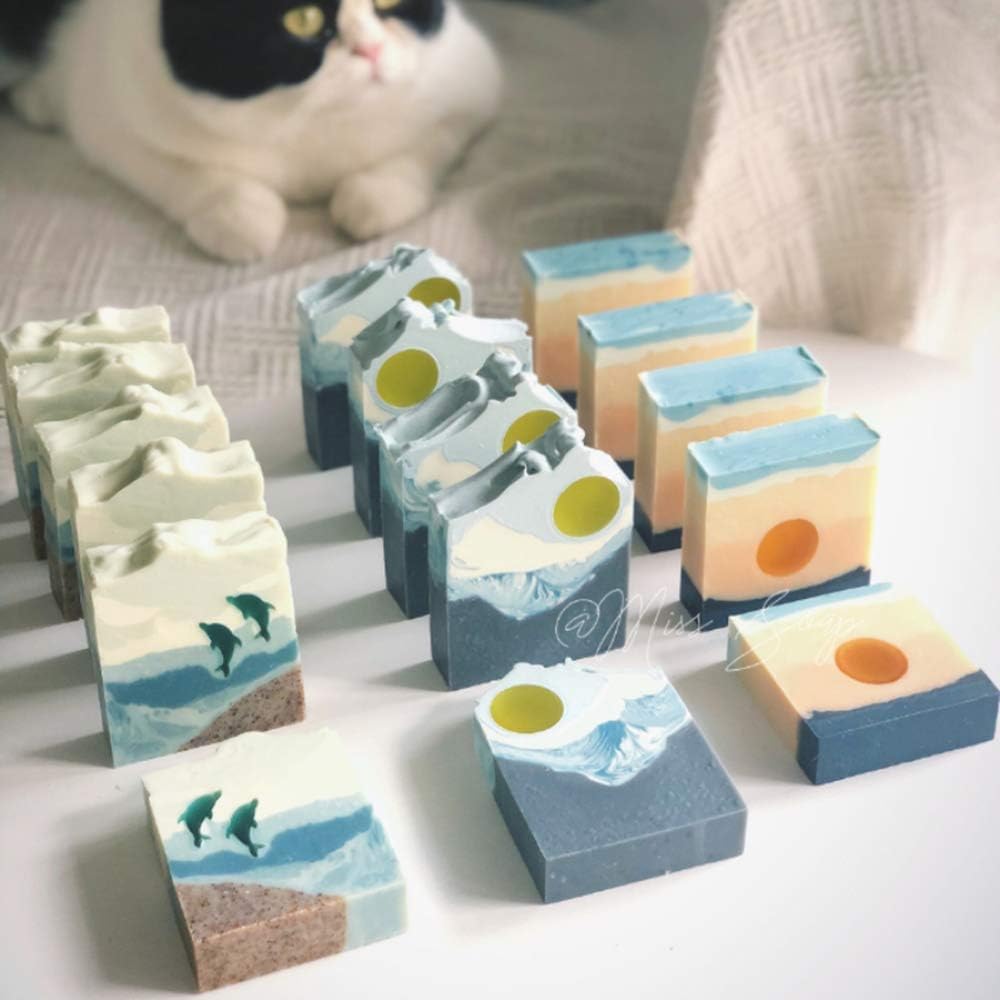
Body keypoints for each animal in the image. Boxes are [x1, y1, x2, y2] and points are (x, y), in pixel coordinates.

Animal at [0, 0, 502, 262]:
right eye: (303, 19)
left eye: (387, 1)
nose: (373, 49)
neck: (310, 117)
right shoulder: (108, 114)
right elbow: (177, 170)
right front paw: (237, 214)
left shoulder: (476, 85)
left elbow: (429, 141)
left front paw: (375, 194)